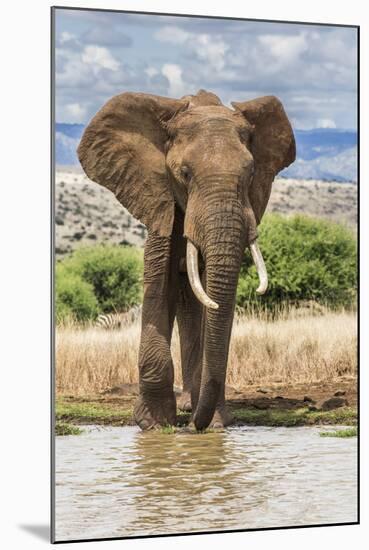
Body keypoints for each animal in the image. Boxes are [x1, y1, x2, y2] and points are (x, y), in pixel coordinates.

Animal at [77, 89, 294, 432]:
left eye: (250, 174)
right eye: (184, 174)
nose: (196, 427)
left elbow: (211, 305)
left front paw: (215, 424)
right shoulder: (159, 201)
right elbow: (159, 285)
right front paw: (153, 424)